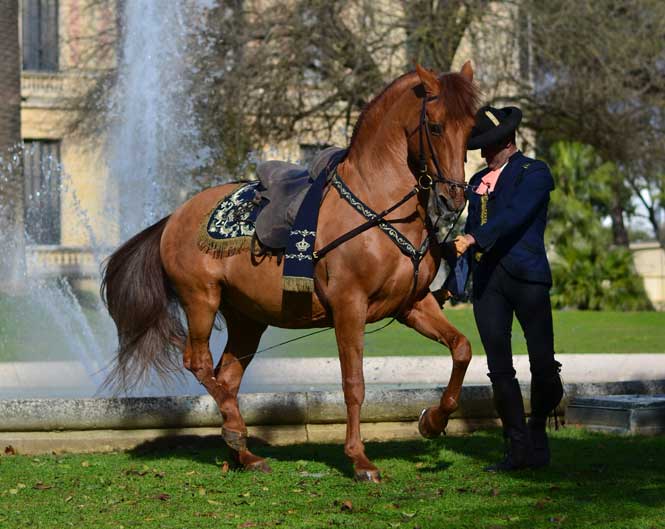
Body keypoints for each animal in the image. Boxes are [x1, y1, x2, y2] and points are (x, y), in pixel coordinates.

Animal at [102, 62, 478, 478]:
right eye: (436, 126)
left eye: (471, 127)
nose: (453, 198)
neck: (378, 203)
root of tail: (173, 216)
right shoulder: (350, 306)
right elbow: (354, 383)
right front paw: (359, 458)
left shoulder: (412, 303)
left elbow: (462, 348)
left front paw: (434, 420)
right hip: (201, 300)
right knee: (199, 364)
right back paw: (236, 430)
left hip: (247, 320)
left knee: (226, 378)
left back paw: (243, 451)